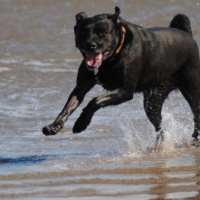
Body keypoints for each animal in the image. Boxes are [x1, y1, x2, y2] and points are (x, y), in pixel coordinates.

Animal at [43, 5, 200, 150]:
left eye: (103, 32)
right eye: (83, 33)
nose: (90, 45)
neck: (110, 59)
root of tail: (188, 35)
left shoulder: (125, 91)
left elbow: (95, 101)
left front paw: (81, 124)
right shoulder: (81, 87)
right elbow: (68, 106)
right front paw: (54, 126)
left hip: (191, 89)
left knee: (196, 114)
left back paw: (194, 140)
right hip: (153, 99)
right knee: (160, 126)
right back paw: (158, 146)